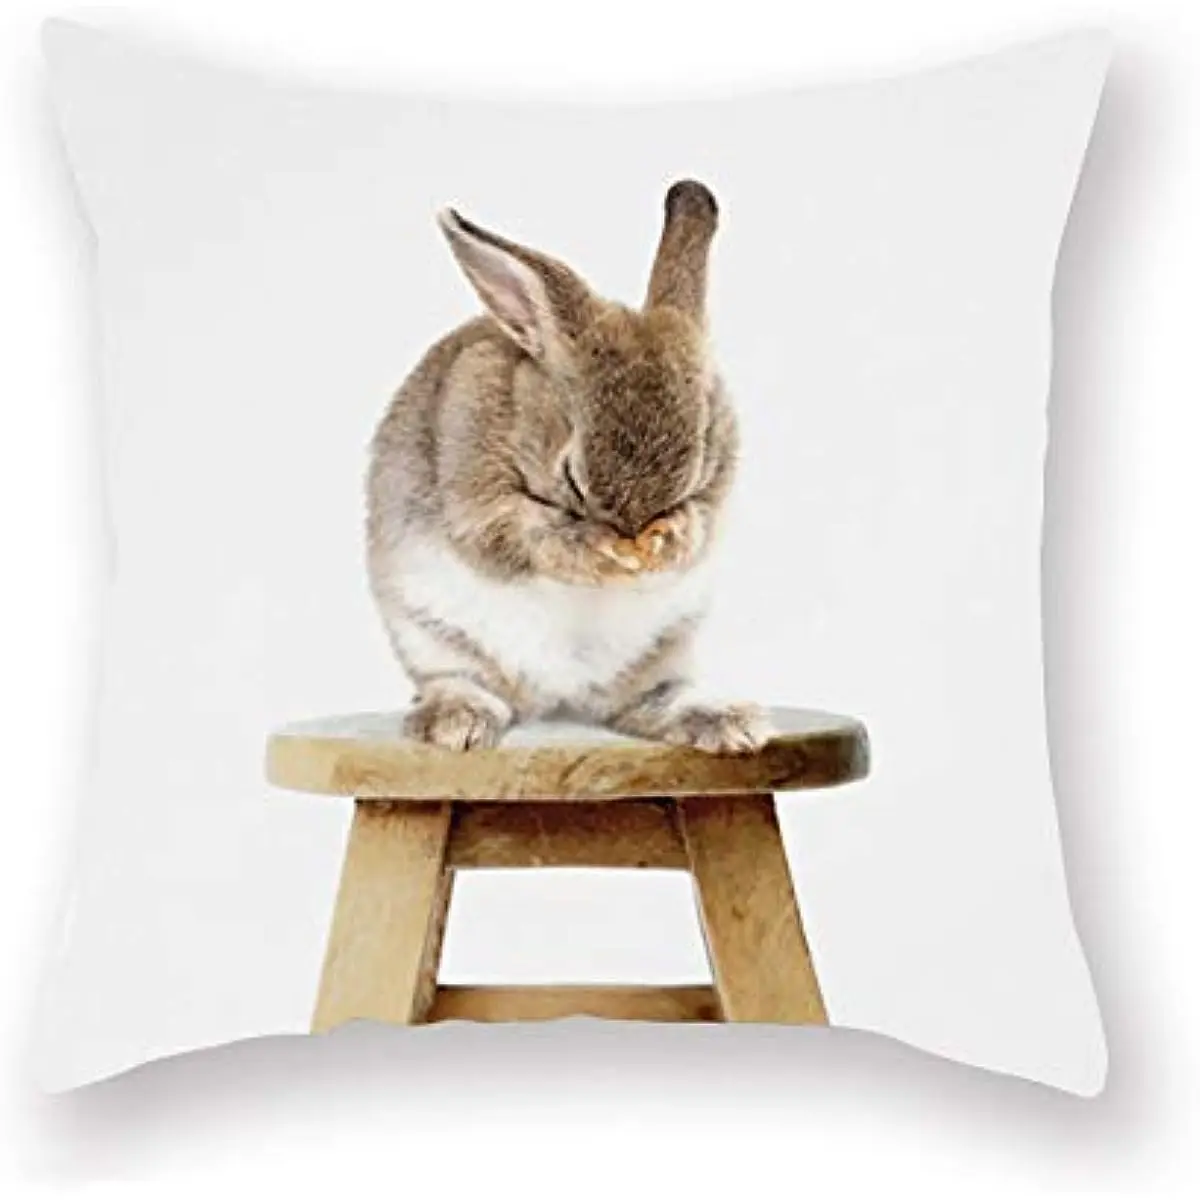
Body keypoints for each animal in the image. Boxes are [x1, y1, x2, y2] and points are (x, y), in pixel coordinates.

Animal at [366, 180, 770, 754]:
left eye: (692, 477)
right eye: (572, 479)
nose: (633, 536)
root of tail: (559, 697)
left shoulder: (716, 499)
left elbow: (701, 526)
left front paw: (669, 537)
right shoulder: (476, 498)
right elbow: (526, 534)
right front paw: (598, 549)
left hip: (662, 656)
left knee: (652, 702)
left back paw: (729, 723)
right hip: (435, 640)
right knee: (460, 683)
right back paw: (457, 724)